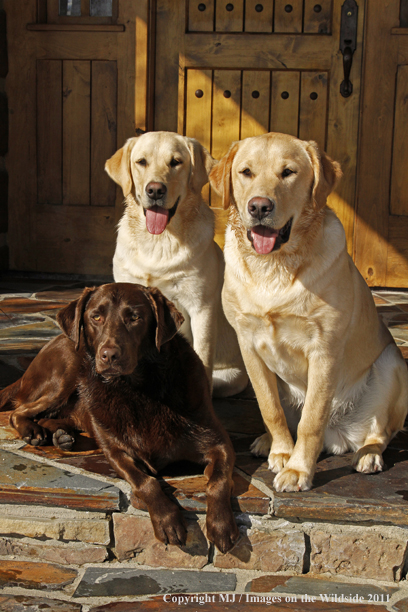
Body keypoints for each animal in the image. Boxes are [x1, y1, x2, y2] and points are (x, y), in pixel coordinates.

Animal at [0, 284, 239, 552]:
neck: (138, 390)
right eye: (96, 317)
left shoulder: (219, 443)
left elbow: (218, 481)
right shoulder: (117, 453)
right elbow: (145, 481)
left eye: (135, 317)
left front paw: (221, 525)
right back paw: (35, 432)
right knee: (20, 412)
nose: (109, 355)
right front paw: (167, 520)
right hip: (66, 373)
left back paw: (62, 436)